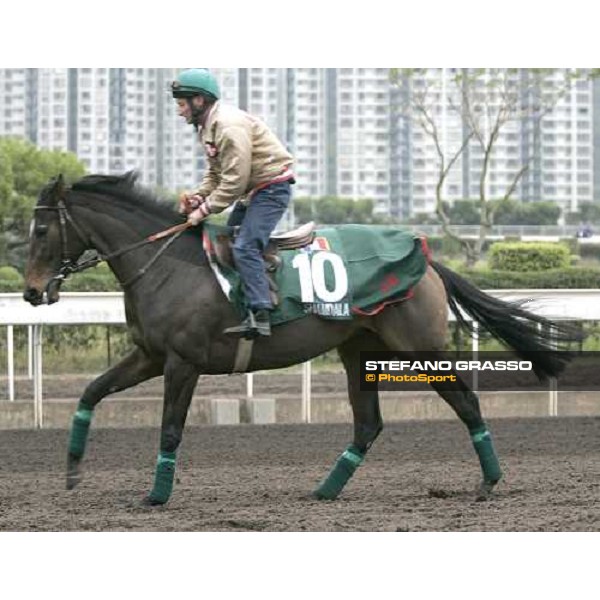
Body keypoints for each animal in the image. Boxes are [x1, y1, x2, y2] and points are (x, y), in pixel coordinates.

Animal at [23, 172, 580, 506]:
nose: (30, 291)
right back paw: (324, 491)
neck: (165, 266)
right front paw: (72, 472)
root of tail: (425, 259)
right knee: (368, 423)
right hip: (358, 350)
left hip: (419, 347)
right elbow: (91, 392)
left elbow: (170, 429)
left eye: (41, 231)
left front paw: (156, 496)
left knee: (465, 402)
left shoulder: (182, 362)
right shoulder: (149, 356)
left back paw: (488, 481)